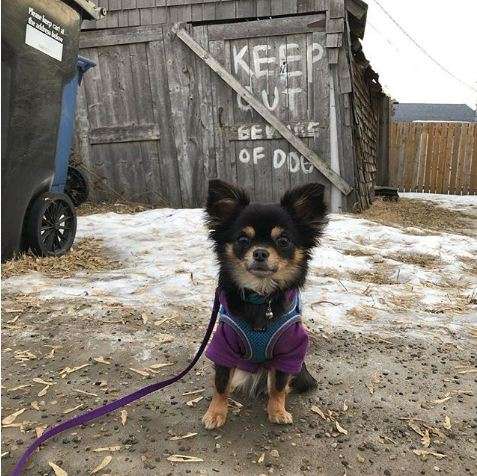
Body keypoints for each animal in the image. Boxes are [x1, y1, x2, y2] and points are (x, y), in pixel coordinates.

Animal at [201, 178, 328, 428]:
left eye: (283, 241)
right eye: (242, 239)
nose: (260, 253)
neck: (261, 298)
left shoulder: (289, 351)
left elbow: (278, 384)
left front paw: (277, 411)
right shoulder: (224, 346)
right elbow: (221, 383)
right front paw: (215, 413)